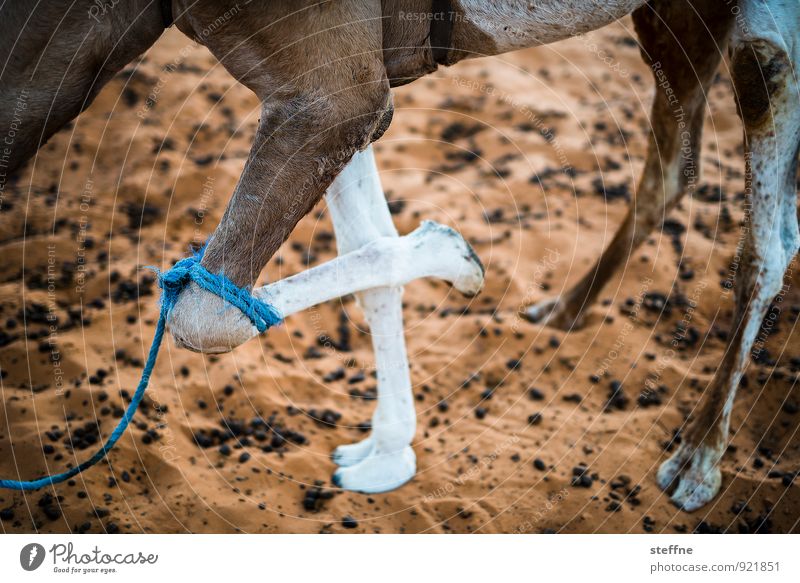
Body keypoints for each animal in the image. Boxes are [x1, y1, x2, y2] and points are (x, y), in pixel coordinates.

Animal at [0, 0, 796, 512]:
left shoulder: (332, 91)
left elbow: (203, 312)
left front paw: (456, 254)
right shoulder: (325, 86)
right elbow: (369, 245)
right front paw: (386, 451)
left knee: (769, 232)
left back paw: (697, 461)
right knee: (673, 165)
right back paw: (560, 311)